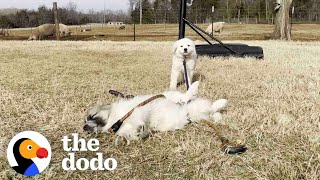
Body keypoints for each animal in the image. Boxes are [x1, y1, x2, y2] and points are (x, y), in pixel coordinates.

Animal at [83, 82, 228, 145]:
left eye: (92, 116)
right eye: (86, 121)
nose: (84, 128)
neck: (117, 118)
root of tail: (189, 111)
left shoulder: (141, 109)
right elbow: (130, 132)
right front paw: (131, 134)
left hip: (172, 96)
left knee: (185, 97)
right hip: (195, 113)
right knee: (212, 110)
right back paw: (218, 112)